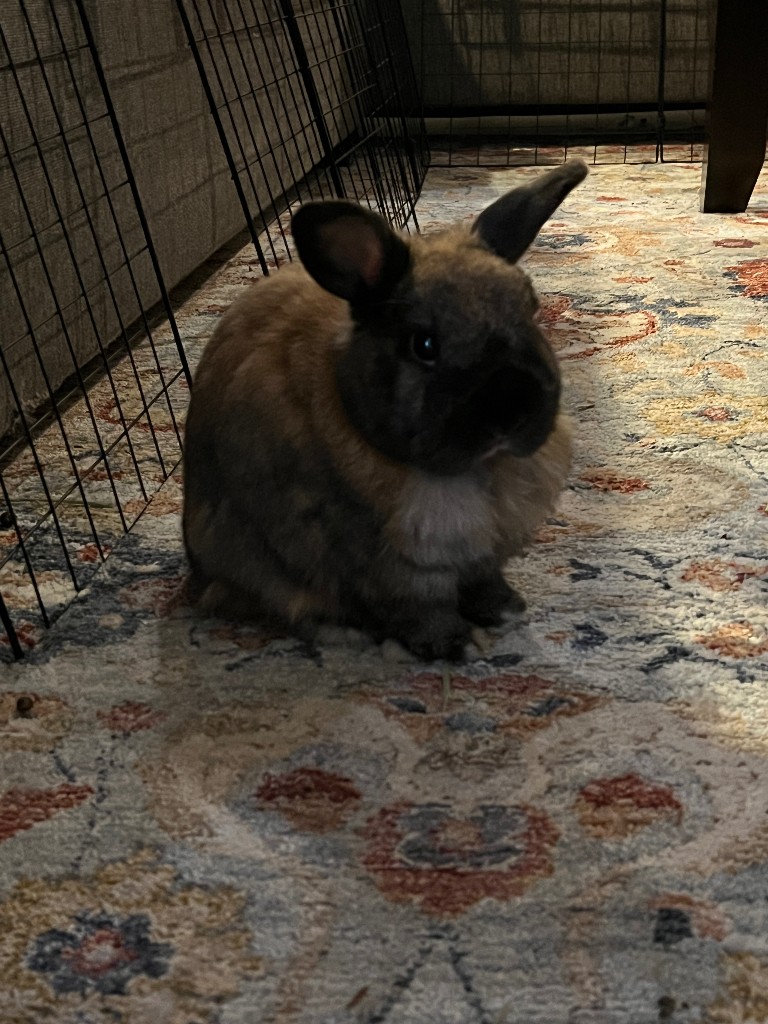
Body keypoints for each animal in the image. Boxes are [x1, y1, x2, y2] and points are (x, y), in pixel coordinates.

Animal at [182, 159, 588, 661]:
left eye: (530, 312)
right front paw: (456, 646)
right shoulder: (386, 564)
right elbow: (419, 607)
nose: (510, 412)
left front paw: (506, 609)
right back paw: (343, 633)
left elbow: (483, 581)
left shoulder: (480, 551)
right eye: (424, 345)